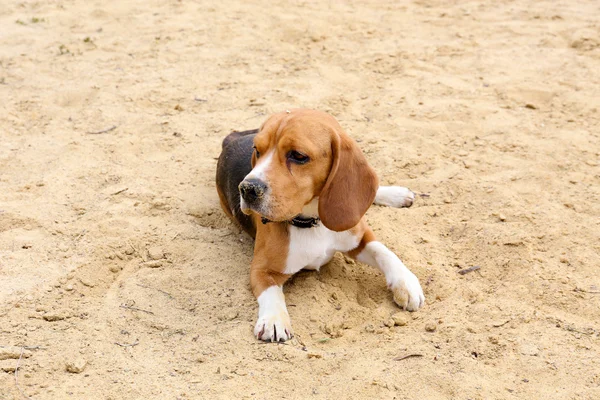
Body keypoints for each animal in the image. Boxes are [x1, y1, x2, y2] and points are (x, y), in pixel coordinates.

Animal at [214, 108, 422, 342]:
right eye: (257, 151)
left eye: (298, 156)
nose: (247, 188)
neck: (313, 222)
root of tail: (231, 139)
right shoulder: (261, 268)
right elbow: (271, 293)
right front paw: (273, 319)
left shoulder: (358, 237)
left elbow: (384, 251)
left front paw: (406, 282)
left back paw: (396, 194)